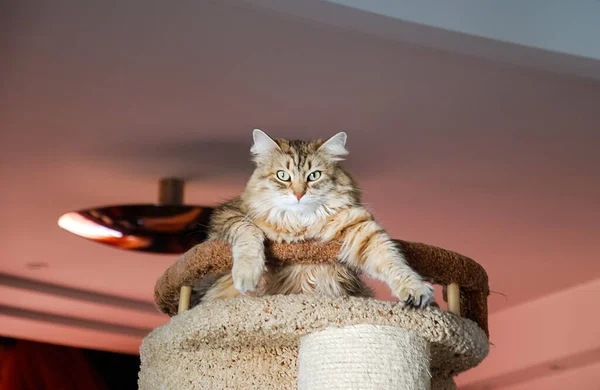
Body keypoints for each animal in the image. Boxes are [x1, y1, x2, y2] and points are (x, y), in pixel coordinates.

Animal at [190, 130, 434, 308]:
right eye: (282, 176)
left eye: (314, 176)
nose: (299, 194)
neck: (299, 224)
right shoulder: (228, 216)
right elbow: (249, 233)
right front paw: (248, 274)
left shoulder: (360, 228)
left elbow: (392, 259)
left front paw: (416, 290)